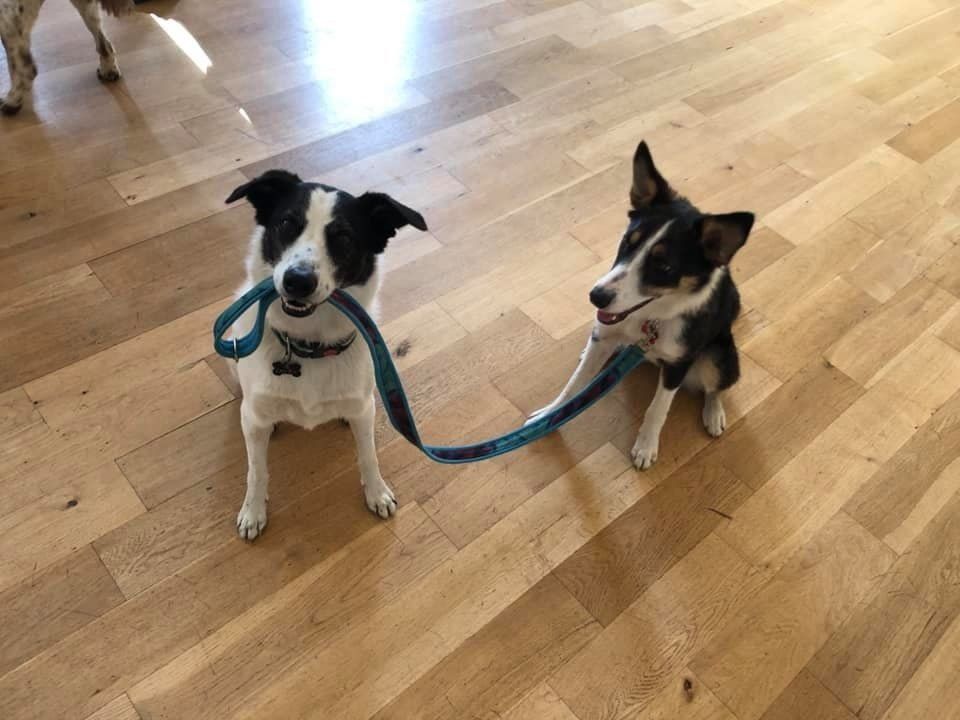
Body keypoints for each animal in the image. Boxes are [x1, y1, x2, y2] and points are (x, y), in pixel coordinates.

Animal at [225, 170, 428, 540]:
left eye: (344, 237)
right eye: (286, 223)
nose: (298, 281)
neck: (308, 347)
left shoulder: (363, 409)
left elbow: (368, 454)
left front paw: (376, 492)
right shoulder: (255, 417)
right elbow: (256, 470)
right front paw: (253, 511)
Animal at [530, 141, 754, 470]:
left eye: (664, 266)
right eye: (627, 242)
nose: (596, 296)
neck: (649, 319)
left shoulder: (678, 363)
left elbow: (658, 408)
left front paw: (646, 446)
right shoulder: (605, 333)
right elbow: (574, 383)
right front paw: (550, 415)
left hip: (718, 356)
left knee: (716, 386)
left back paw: (713, 413)